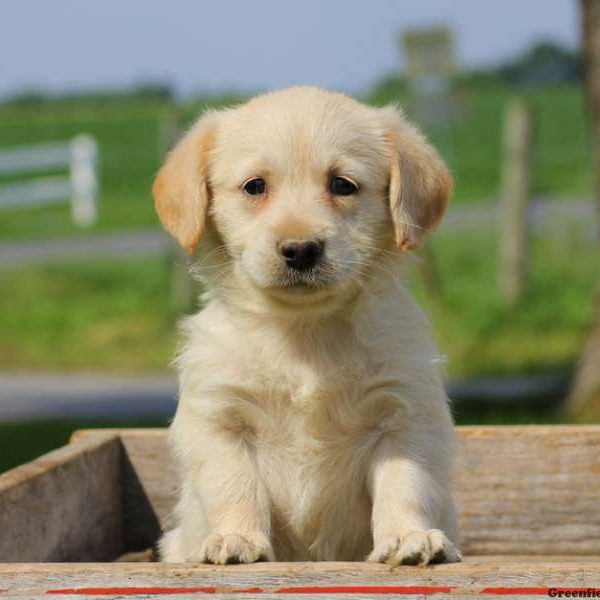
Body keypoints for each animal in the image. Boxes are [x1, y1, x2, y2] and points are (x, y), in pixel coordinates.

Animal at [154, 86, 460, 564]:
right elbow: (233, 485)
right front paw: (236, 537)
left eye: (342, 185)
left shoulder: (405, 417)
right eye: (255, 186)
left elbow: (405, 484)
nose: (300, 249)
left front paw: (409, 536)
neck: (305, 332)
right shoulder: (220, 419)